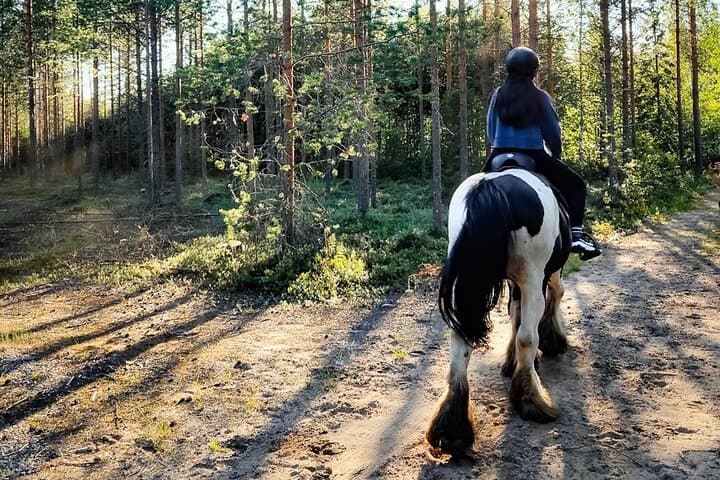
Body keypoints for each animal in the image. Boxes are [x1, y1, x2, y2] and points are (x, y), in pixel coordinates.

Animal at [426, 155, 572, 456]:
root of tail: (490, 188)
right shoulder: (544, 274)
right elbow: (551, 299)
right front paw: (552, 340)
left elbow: (514, 315)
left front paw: (510, 360)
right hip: (532, 276)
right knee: (528, 336)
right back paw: (532, 401)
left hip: (468, 285)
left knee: (459, 345)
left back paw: (453, 430)